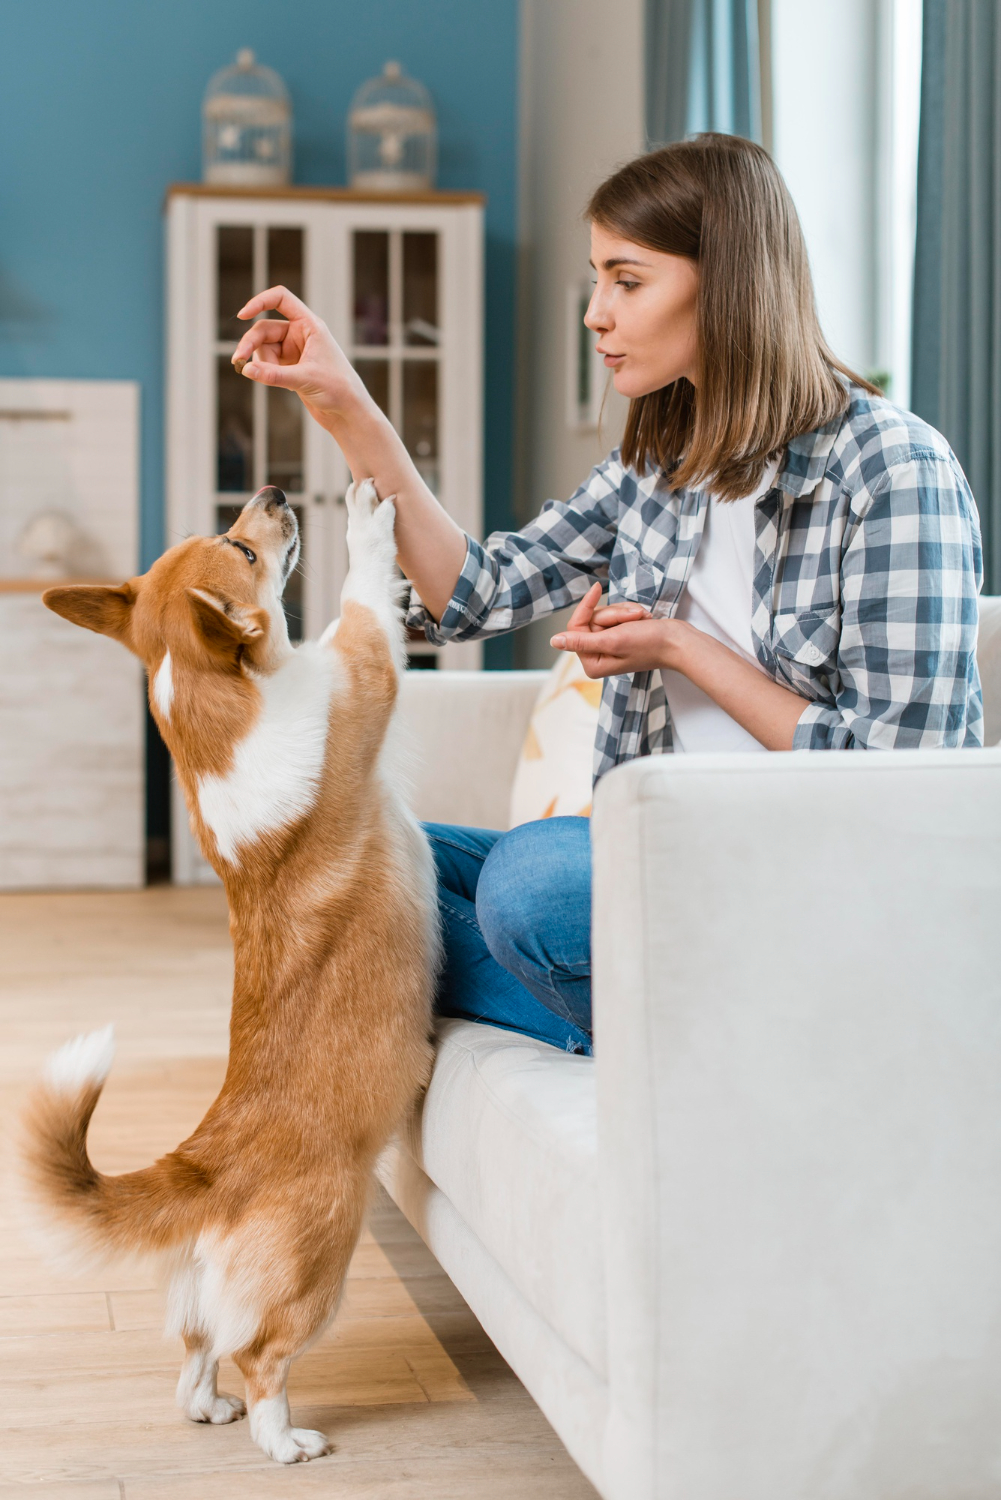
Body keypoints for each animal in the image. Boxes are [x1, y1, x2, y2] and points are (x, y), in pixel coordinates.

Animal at [18, 480, 438, 1464]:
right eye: (242, 551)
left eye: (224, 532)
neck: (219, 702)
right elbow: (361, 600)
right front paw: (369, 522)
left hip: (209, 1296)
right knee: (261, 1357)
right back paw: (283, 1441)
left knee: (196, 1347)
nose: (277, 491)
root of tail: (205, 1168)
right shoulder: (363, 672)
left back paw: (209, 1408)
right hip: (322, 1266)